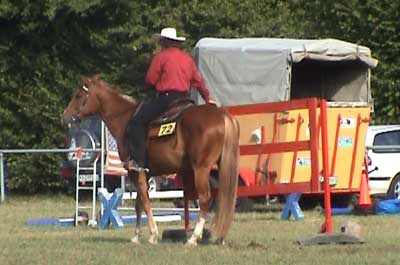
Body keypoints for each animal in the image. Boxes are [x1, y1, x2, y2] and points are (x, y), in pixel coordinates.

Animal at [61, 75, 239, 245]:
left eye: (78, 95)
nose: (65, 116)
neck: (124, 119)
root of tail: (223, 116)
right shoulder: (146, 173)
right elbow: (139, 203)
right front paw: (136, 236)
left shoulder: (135, 171)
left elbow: (145, 202)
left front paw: (153, 234)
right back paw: (220, 237)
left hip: (201, 168)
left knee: (205, 199)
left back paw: (193, 238)